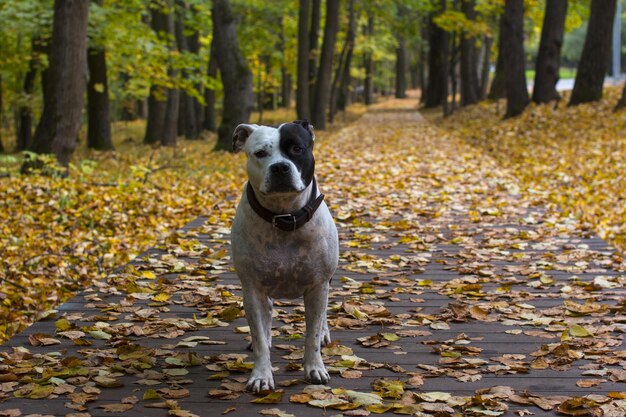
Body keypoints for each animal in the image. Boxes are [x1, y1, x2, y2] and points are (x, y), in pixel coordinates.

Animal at [229, 118, 336, 392]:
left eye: (297, 149)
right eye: (260, 153)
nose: (280, 167)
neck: (285, 216)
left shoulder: (318, 286)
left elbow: (312, 334)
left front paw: (315, 368)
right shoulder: (253, 289)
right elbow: (260, 337)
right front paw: (261, 375)